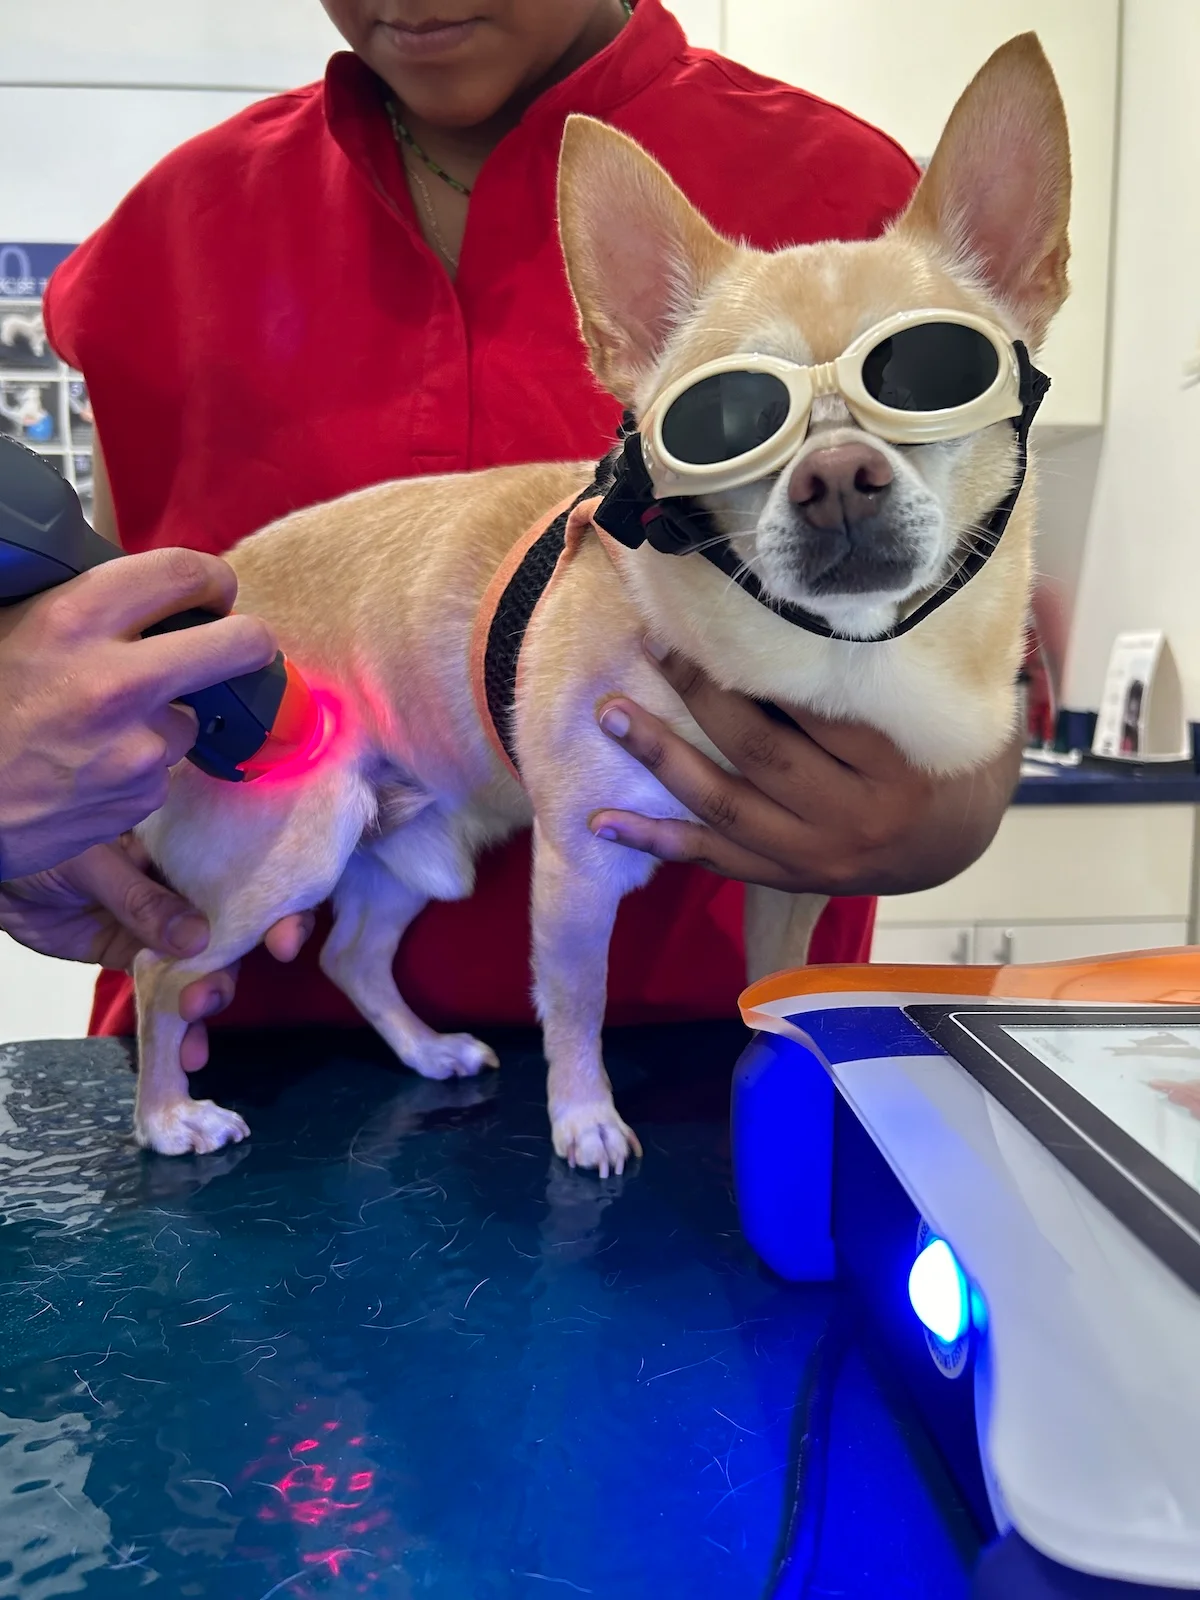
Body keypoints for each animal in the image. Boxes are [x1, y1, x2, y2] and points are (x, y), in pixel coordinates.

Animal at [131, 34, 1068, 1177]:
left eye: (933, 379)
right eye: (721, 424)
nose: (838, 476)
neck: (823, 654)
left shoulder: (794, 873)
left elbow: (774, 980)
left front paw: (778, 1059)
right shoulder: (579, 868)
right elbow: (578, 1002)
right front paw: (584, 1118)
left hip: (414, 847)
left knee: (352, 954)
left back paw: (426, 1049)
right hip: (294, 847)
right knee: (164, 974)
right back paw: (170, 1115)